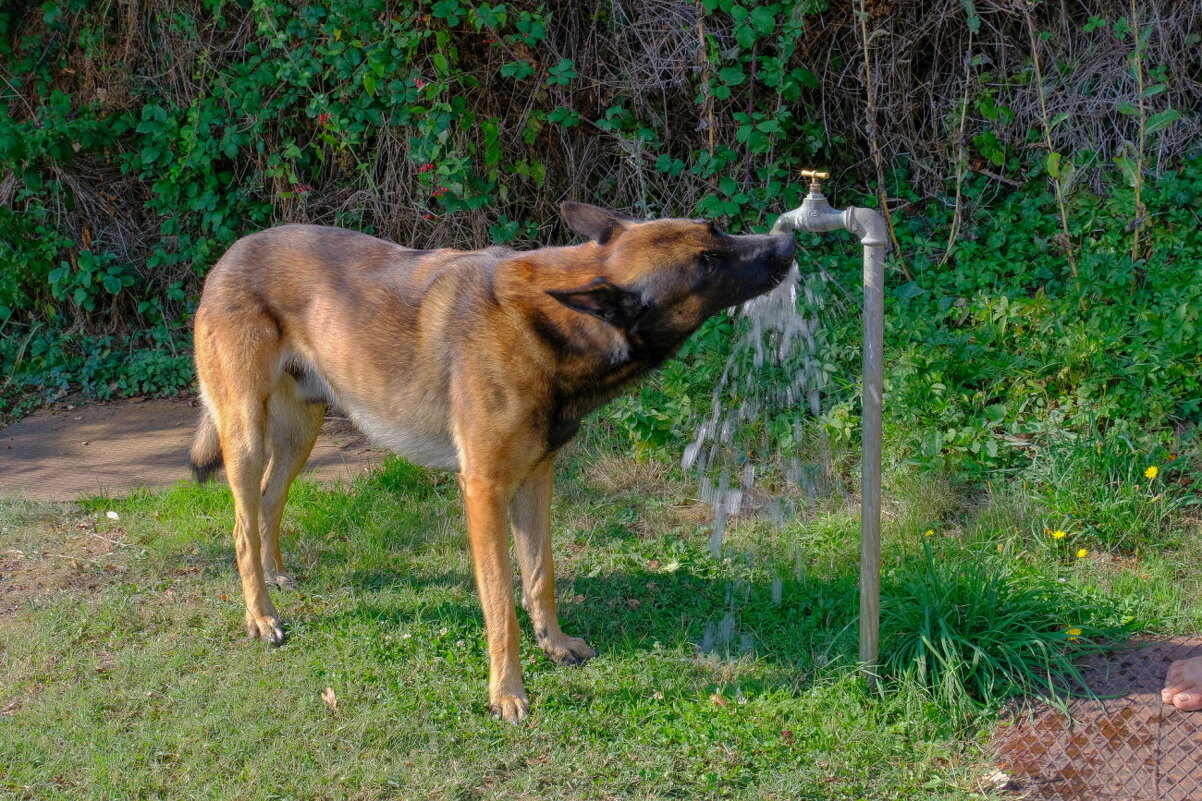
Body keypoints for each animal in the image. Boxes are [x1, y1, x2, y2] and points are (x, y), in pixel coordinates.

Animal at [192, 199, 793, 716]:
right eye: (707, 263)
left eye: (715, 229)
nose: (787, 243)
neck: (546, 325)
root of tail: (230, 254)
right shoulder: (484, 490)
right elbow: (502, 604)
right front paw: (507, 692)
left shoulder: (535, 480)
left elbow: (540, 577)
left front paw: (555, 644)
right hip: (246, 435)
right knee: (242, 528)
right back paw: (261, 616)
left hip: (301, 434)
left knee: (268, 502)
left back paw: (275, 575)